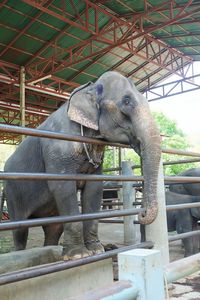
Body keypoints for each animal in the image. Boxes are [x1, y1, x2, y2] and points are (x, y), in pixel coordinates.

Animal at [3, 71, 162, 260]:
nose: (142, 213)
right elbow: (62, 187)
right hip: (12, 194)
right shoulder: (58, 150)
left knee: (53, 229)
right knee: (20, 231)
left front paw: (97, 250)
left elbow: (94, 190)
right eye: (126, 101)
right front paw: (78, 256)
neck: (90, 88)